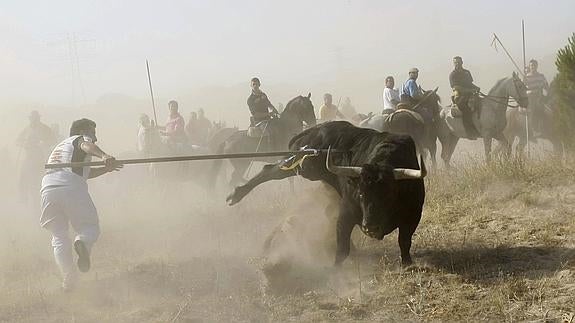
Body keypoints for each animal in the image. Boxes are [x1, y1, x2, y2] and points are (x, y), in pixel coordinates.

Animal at [227, 121, 426, 266]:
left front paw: (407, 263)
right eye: (361, 194)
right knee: (271, 170)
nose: (370, 227)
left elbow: (404, 241)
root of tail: (316, 129)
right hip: (306, 166)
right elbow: (342, 247)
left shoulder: (413, 215)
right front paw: (336, 270)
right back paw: (236, 195)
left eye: (388, 195)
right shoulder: (346, 212)